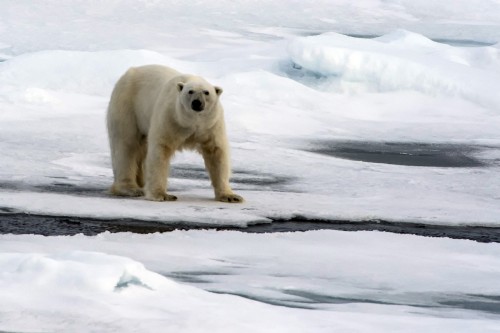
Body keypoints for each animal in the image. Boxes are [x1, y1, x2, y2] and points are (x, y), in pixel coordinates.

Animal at [106, 63, 243, 201]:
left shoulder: (211, 125)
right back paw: (131, 189)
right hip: (127, 106)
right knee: (126, 145)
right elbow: (160, 150)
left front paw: (231, 196)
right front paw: (161, 195)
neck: (192, 122)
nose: (197, 102)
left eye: (206, 92)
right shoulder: (170, 118)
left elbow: (216, 153)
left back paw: (141, 184)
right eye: (190, 91)